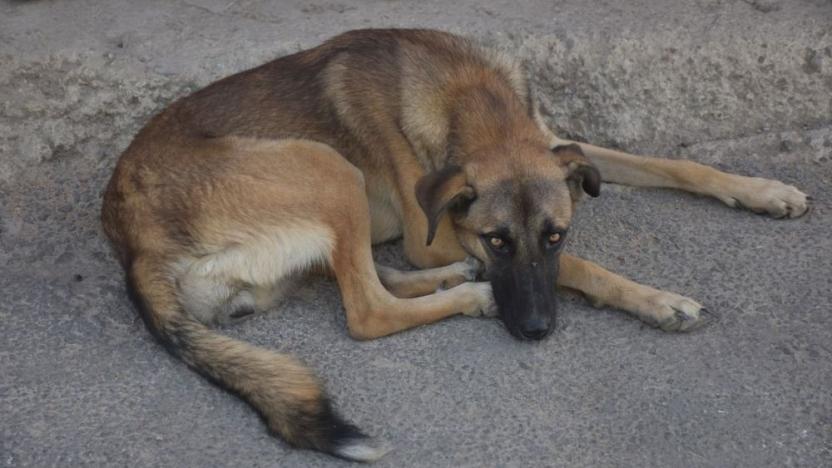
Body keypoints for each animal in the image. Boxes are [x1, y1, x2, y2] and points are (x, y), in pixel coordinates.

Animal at [99, 28, 808, 460]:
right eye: (500, 240)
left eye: (553, 232)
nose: (536, 331)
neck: (471, 97)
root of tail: (131, 239)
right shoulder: (427, 238)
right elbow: (584, 267)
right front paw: (656, 299)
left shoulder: (563, 151)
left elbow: (674, 165)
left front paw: (766, 190)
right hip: (328, 167)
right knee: (367, 310)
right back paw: (471, 295)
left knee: (365, 277)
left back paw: (455, 284)